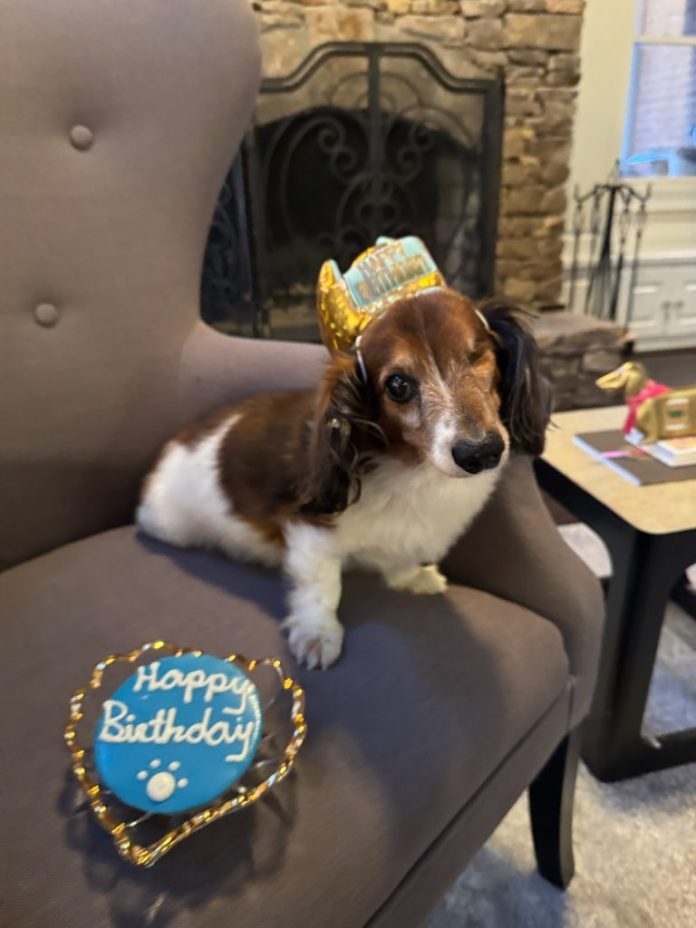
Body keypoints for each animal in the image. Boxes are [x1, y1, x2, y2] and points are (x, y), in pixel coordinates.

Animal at [137, 289, 549, 669]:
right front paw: (318, 634)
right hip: (171, 525)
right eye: (398, 385)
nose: (480, 452)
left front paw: (410, 578)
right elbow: (323, 586)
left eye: (478, 356)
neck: (409, 465)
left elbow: (401, 558)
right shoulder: (311, 531)